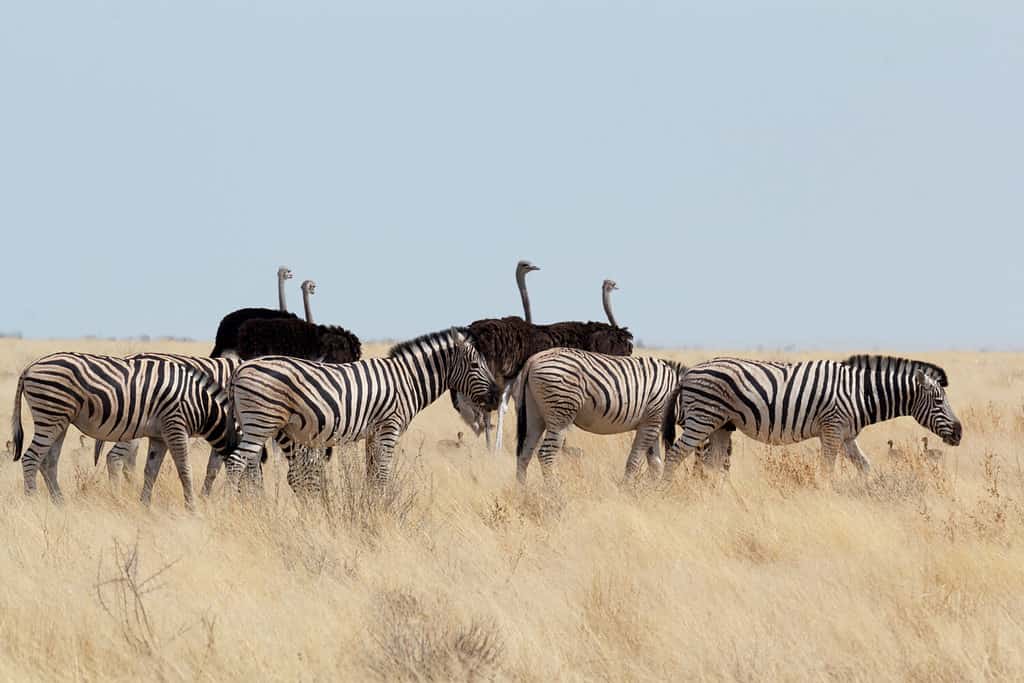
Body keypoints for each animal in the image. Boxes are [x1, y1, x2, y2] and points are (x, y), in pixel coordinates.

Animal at [10, 352, 237, 507]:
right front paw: (193, 508)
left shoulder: (159, 436)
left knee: (48, 461)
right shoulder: (175, 426)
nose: (240, 505)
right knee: (31, 458)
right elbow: (185, 469)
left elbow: (151, 471)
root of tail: (30, 366)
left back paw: (60, 504)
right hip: (50, 413)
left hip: (60, 420)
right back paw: (33, 502)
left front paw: (145, 506)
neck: (201, 402)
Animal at [222, 327, 501, 491]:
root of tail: (240, 367)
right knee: (236, 463)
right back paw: (232, 507)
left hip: (258, 424)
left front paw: (370, 504)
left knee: (250, 467)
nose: (497, 396)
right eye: (475, 365)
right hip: (261, 422)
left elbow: (372, 472)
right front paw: (382, 509)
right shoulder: (389, 427)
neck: (407, 380)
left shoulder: (374, 432)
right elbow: (383, 473)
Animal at [512, 348, 729, 485]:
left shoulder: (653, 423)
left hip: (535, 416)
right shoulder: (652, 421)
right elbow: (634, 462)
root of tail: (534, 358)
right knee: (545, 454)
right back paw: (555, 494)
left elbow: (655, 464)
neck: (677, 397)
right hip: (560, 414)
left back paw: (523, 493)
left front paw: (650, 494)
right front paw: (626, 492)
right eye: (716, 449)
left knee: (524, 454)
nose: (708, 481)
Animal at [659, 352, 962, 481]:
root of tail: (687, 373)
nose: (960, 433)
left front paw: (869, 492)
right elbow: (826, 470)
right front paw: (825, 497)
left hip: (721, 425)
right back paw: (667, 494)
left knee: (712, 466)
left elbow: (865, 466)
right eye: (939, 401)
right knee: (674, 455)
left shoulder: (847, 435)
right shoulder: (832, 428)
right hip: (702, 419)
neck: (860, 392)